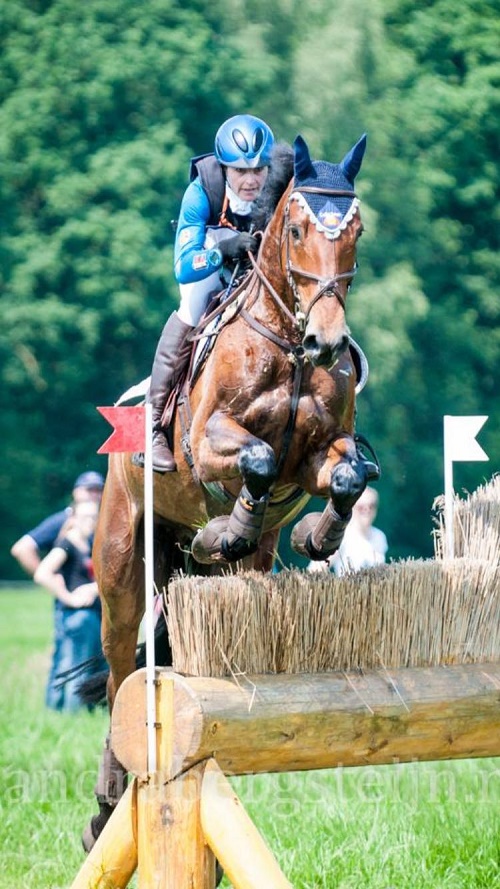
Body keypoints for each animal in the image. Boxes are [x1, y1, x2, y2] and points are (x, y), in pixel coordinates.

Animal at [83, 132, 376, 849]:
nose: (327, 343)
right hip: (121, 563)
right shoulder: (213, 442)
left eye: (356, 230)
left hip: (218, 567)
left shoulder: (319, 458)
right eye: (296, 228)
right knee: (120, 667)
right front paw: (228, 526)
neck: (288, 346)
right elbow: (258, 457)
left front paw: (315, 536)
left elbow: (346, 475)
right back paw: (109, 800)